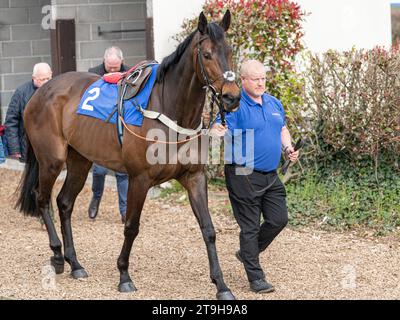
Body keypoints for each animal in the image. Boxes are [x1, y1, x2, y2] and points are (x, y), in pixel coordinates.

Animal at [15, 10, 241, 300]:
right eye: (207, 54)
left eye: (230, 51)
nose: (232, 97)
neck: (168, 110)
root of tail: (40, 92)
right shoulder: (140, 179)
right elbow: (132, 226)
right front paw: (124, 275)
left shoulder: (194, 177)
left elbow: (209, 229)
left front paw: (221, 285)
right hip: (52, 160)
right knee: (42, 199)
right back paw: (56, 256)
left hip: (80, 160)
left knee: (64, 203)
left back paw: (75, 263)